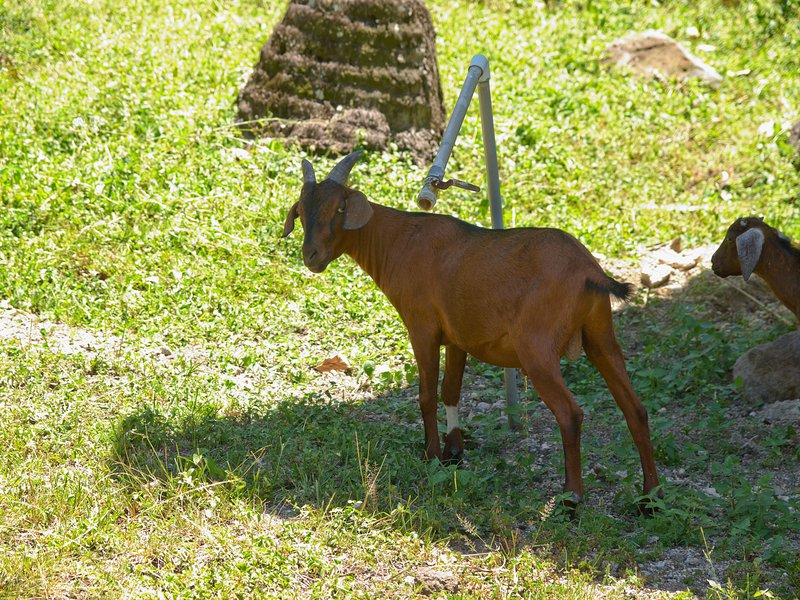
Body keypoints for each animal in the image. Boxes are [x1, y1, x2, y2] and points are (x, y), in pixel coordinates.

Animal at [283, 151, 661, 509]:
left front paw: (432, 455)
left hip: (537, 349)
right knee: (636, 409)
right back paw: (650, 498)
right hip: (600, 334)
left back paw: (571, 499)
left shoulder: (422, 327)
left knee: (570, 414)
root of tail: (590, 272)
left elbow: (426, 394)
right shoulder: (457, 337)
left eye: (339, 208)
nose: (311, 256)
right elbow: (451, 390)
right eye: (301, 211)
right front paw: (454, 450)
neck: (398, 240)